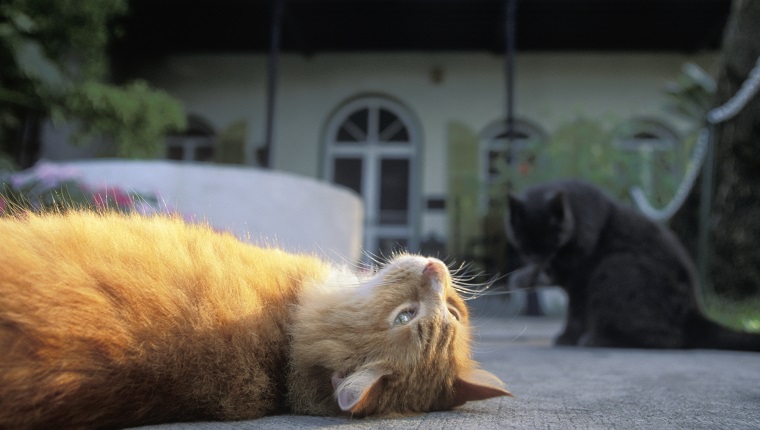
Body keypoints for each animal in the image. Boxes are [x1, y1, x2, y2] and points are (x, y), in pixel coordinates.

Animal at [504, 180, 760, 352]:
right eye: (526, 249)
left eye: (553, 247)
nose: (540, 263)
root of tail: (694, 314)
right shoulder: (567, 276)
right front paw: (522, 278)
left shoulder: (581, 278)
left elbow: (575, 312)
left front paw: (567, 337)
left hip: (615, 267)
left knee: (670, 340)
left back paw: (598, 340)